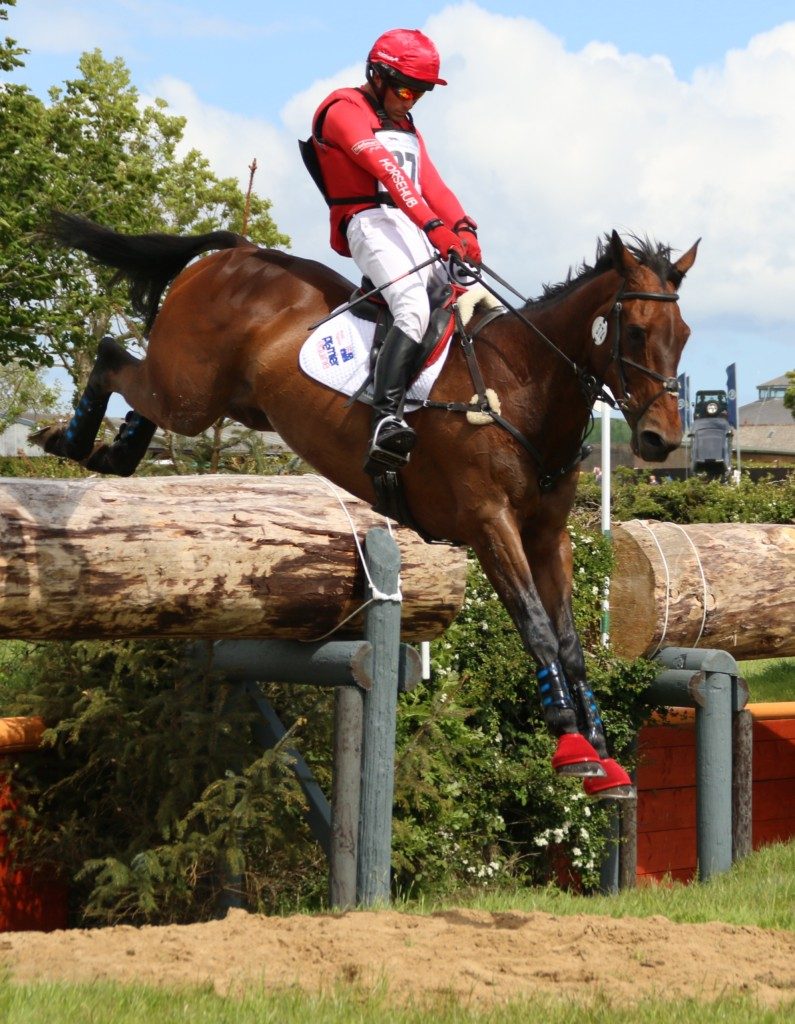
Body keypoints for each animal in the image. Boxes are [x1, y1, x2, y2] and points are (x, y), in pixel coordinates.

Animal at [35, 216, 696, 798]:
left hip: (227, 399)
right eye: (635, 332)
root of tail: (238, 252)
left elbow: (570, 643)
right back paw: (68, 439)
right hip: (191, 391)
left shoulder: (547, 536)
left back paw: (112, 452)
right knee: (112, 356)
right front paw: (572, 747)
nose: (660, 440)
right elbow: (537, 627)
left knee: (139, 392)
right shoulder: (490, 525)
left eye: (683, 335)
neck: (520, 387)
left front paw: (603, 756)